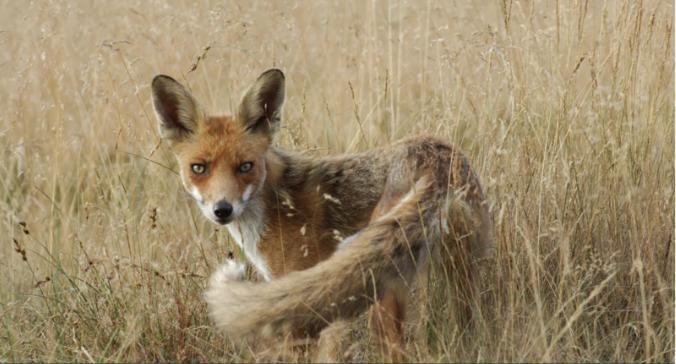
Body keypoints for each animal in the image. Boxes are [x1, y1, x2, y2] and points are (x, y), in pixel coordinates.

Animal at [152, 69, 492, 362]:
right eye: (199, 168)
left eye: (245, 166)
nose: (222, 209)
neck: (274, 204)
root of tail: (436, 157)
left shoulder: (297, 300)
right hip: (461, 280)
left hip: (380, 296)